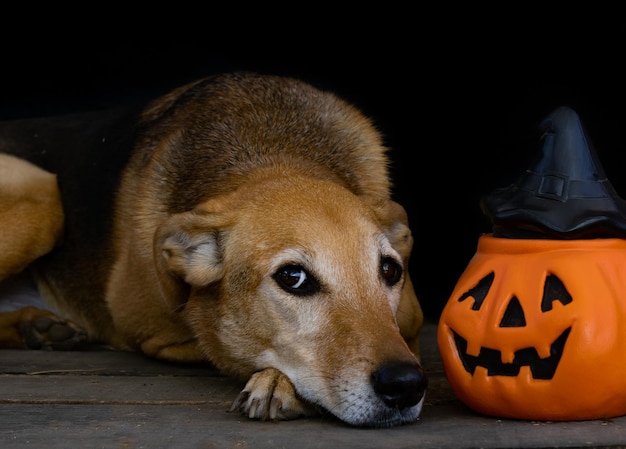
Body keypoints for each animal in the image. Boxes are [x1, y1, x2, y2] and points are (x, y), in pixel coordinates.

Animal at [0, 71, 424, 428]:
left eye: (390, 270)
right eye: (293, 277)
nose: (405, 384)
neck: (273, 151)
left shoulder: (411, 327)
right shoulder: (152, 335)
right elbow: (221, 347)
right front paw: (277, 381)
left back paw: (36, 327)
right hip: (42, 196)